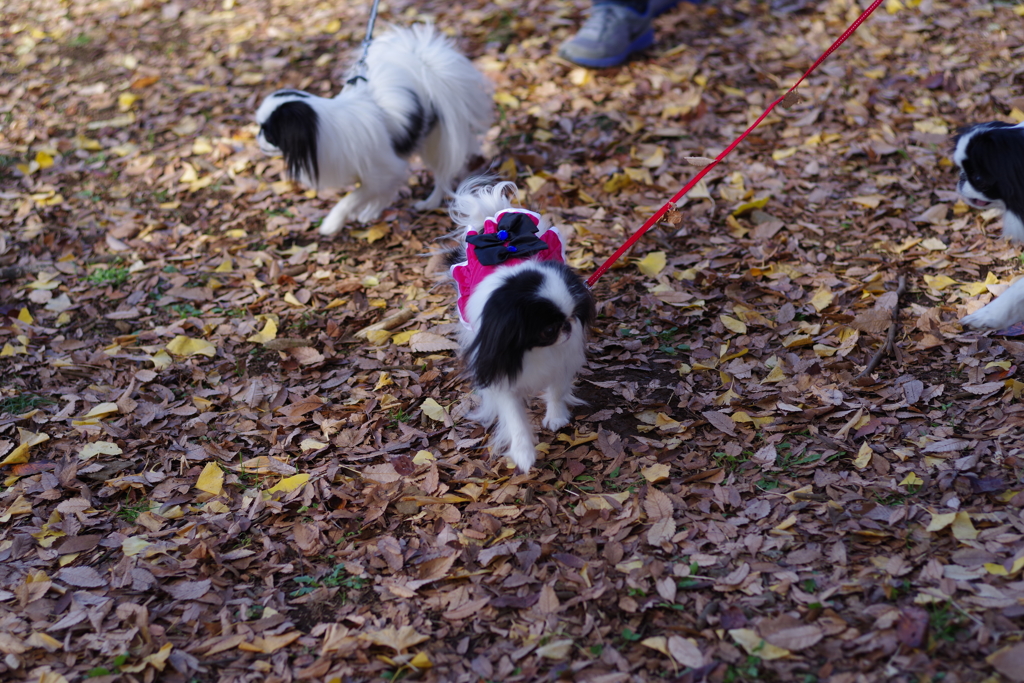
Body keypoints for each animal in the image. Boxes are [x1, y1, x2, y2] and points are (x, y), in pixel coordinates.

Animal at [258, 24, 493, 237]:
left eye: (268, 133)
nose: (257, 138)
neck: (323, 129)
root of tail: (422, 65)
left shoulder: (383, 169)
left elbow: (351, 198)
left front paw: (332, 224)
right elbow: (379, 191)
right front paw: (371, 211)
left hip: (436, 141)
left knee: (443, 174)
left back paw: (430, 203)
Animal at [444, 179, 598, 473]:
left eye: (574, 316)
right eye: (547, 330)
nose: (567, 328)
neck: (532, 349)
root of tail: (495, 220)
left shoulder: (562, 358)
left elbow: (557, 388)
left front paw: (556, 417)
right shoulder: (500, 371)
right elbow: (514, 417)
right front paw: (524, 453)